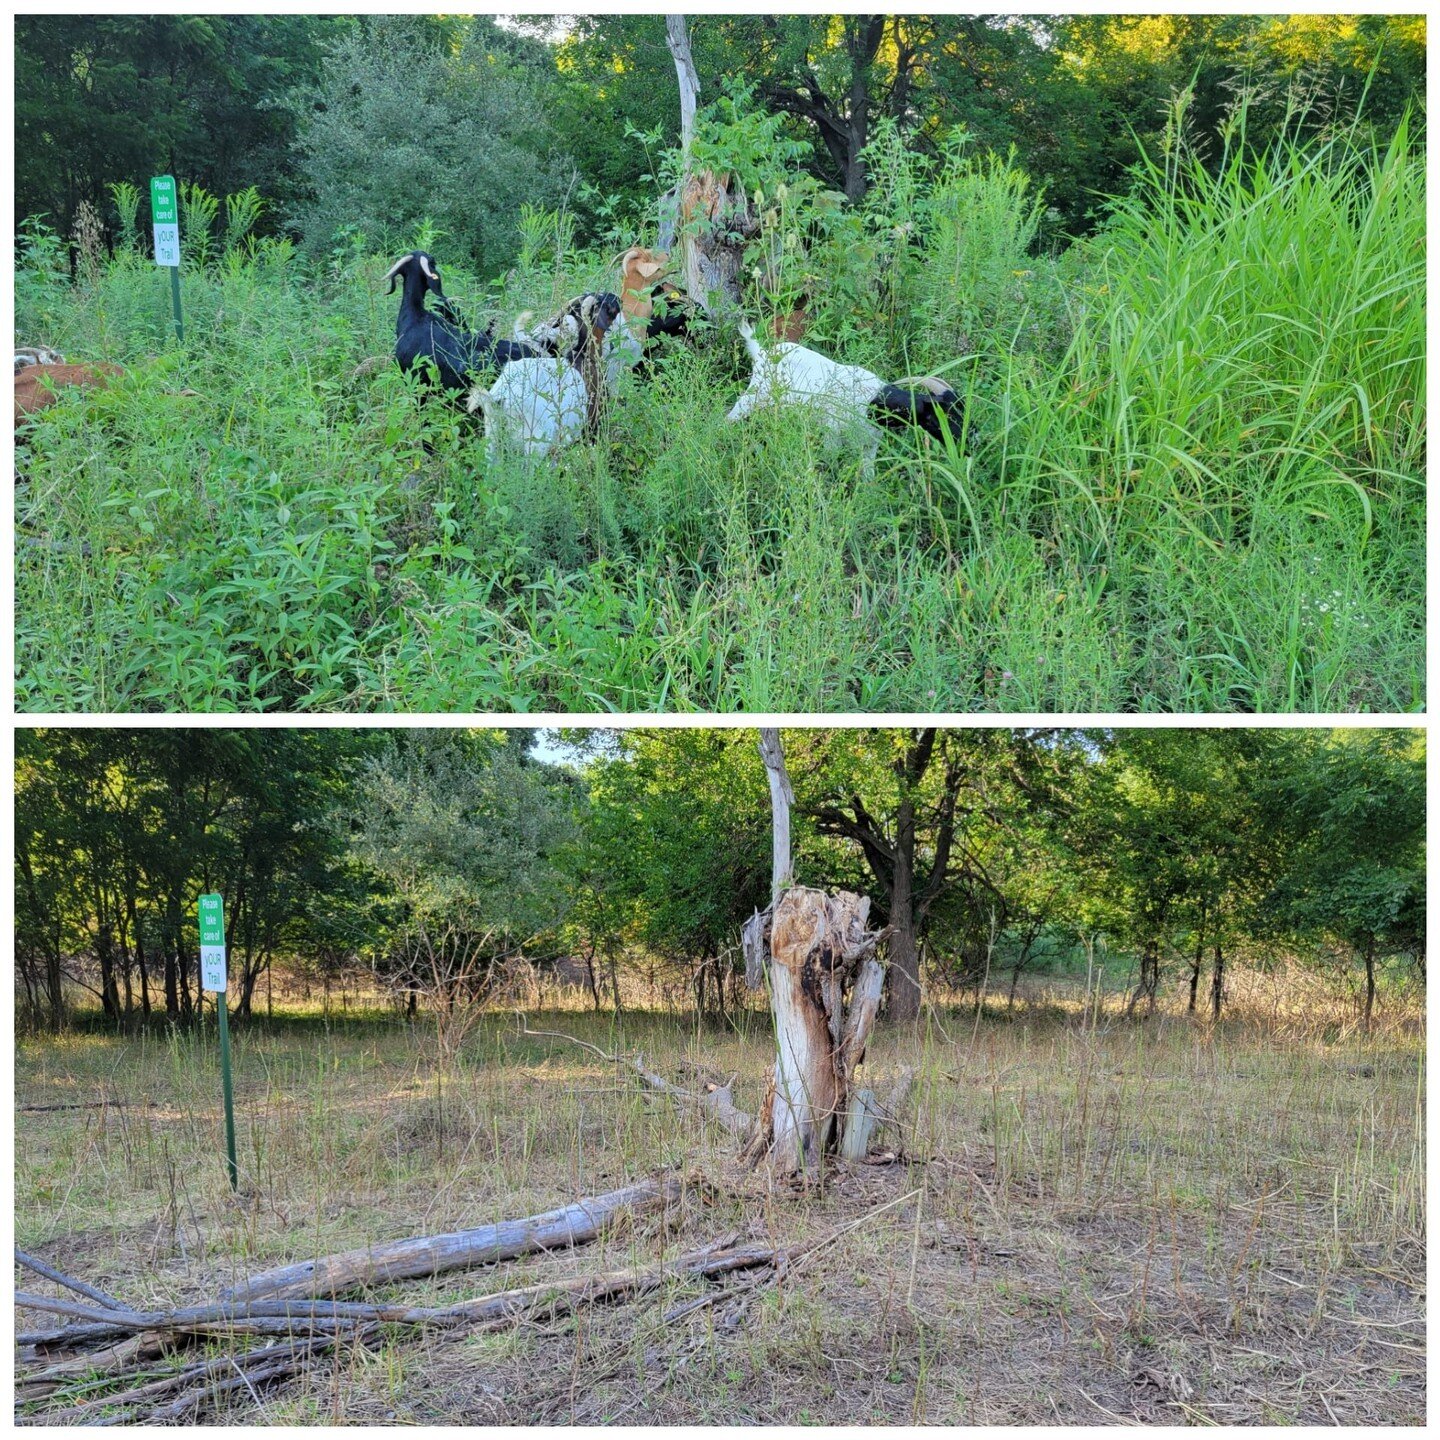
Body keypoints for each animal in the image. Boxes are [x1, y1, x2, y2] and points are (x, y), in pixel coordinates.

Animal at [725, 316, 961, 466]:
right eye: (939, 418)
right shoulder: (833, 435)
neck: (873, 401)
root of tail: (761, 354)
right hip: (753, 395)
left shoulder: (869, 445)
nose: (966, 440)